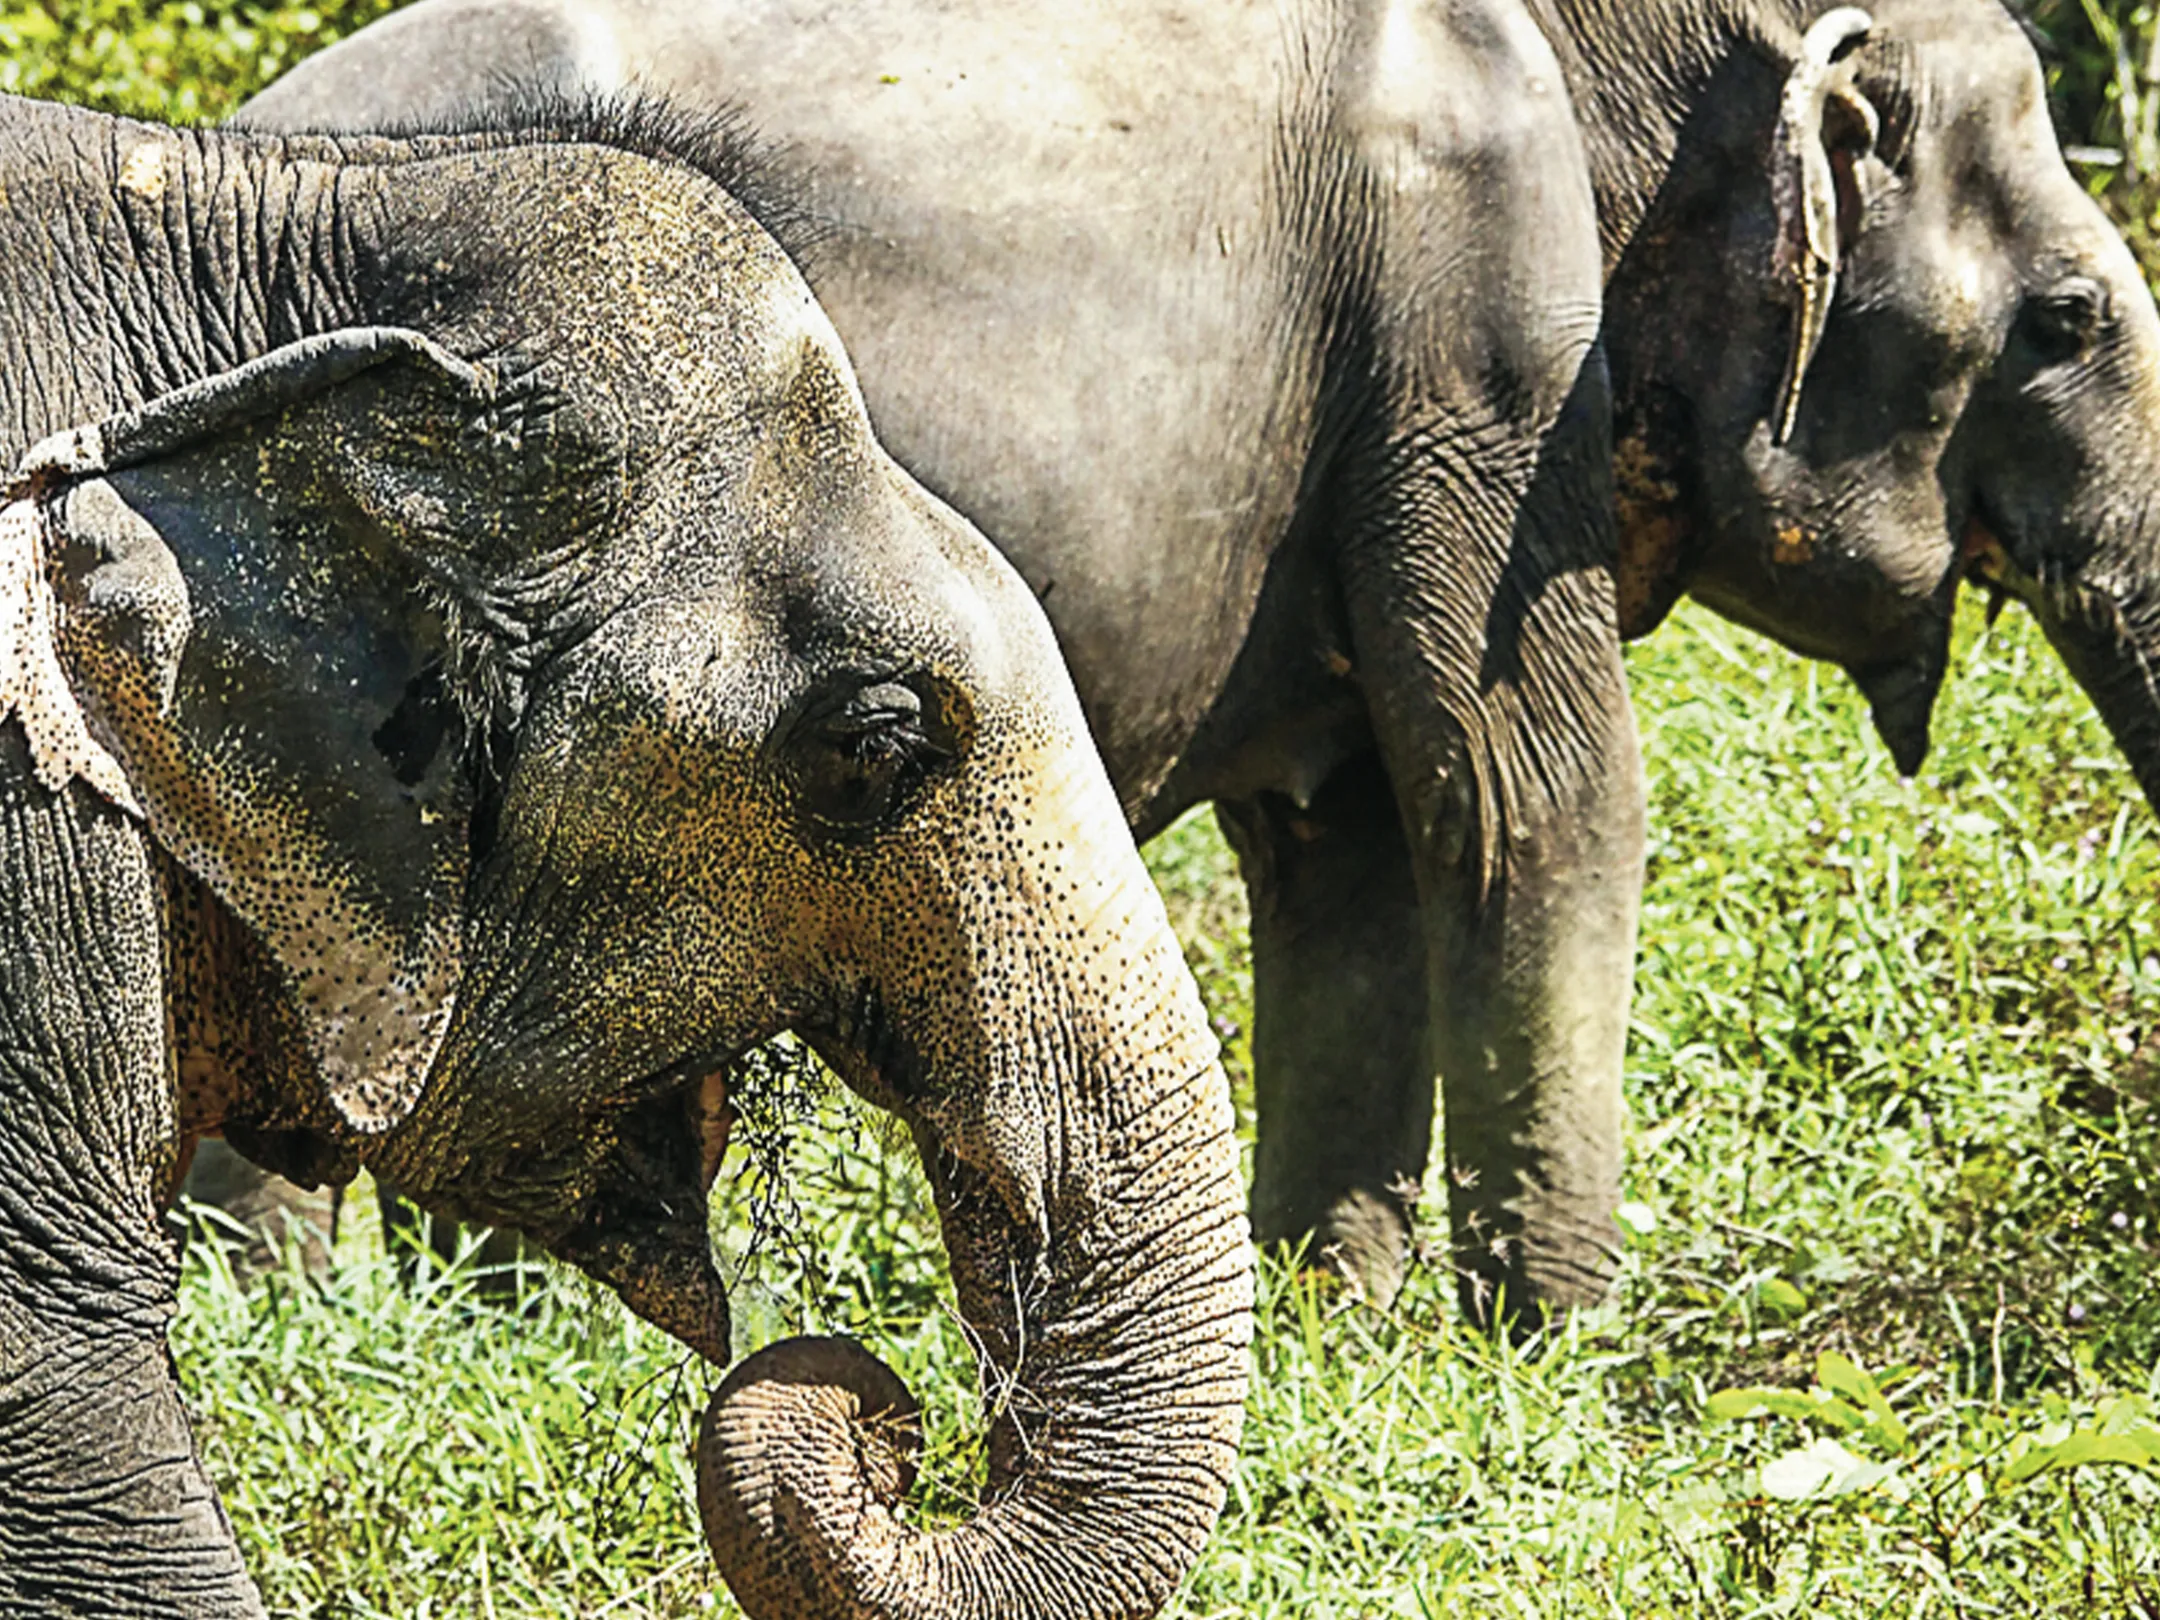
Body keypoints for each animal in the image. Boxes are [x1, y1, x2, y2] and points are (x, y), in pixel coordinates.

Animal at [241, 0, 2160, 1320]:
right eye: (2070, 319)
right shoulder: (1480, 342)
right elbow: (1535, 804)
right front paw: (1555, 1343)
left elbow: (1355, 850)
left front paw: (1341, 1317)